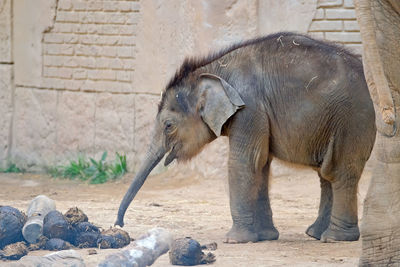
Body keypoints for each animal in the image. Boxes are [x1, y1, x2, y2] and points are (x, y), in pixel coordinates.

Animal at [115, 31, 376, 245]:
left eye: (168, 125)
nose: (119, 225)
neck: (215, 69)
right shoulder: (258, 113)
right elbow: (261, 165)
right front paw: (266, 237)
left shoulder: (250, 107)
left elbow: (245, 161)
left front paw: (235, 240)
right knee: (325, 173)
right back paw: (315, 233)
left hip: (352, 120)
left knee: (340, 171)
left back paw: (335, 238)